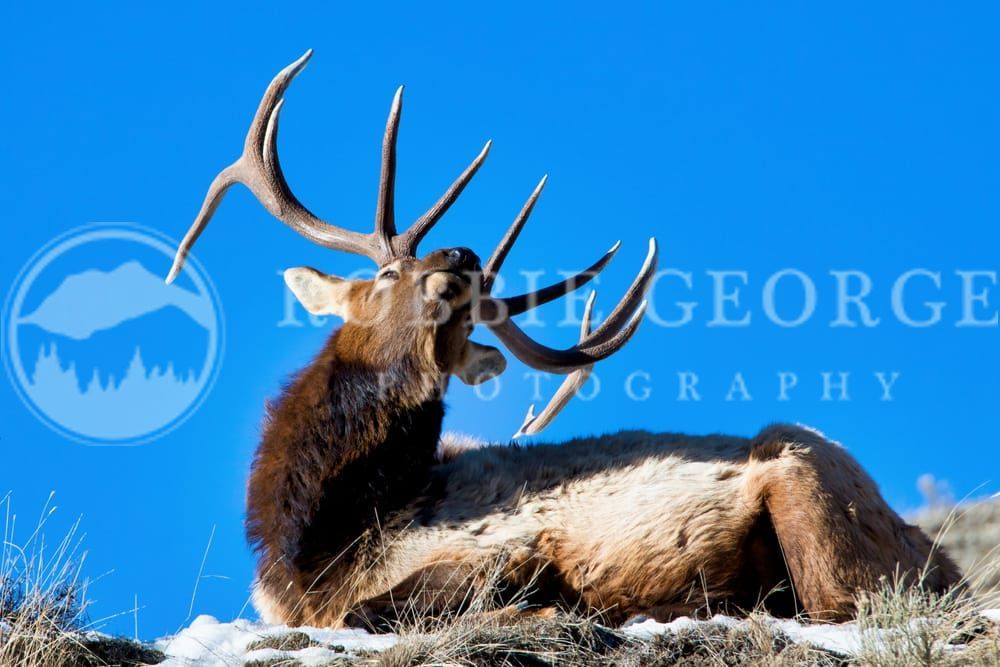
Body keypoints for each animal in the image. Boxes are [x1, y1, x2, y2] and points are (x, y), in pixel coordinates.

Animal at [166, 51, 961, 630]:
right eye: (389, 271)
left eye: (465, 315)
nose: (460, 257)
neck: (319, 539)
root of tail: (941, 557)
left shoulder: (497, 548)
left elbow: (383, 608)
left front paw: (553, 609)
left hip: (806, 486)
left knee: (836, 604)